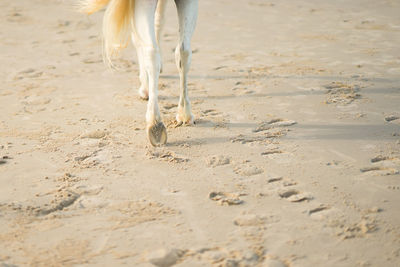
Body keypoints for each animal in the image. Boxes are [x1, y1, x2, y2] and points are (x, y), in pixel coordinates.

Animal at [79, 0, 198, 147]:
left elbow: (183, 51)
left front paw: (184, 113)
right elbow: (150, 48)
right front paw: (156, 123)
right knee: (145, 41)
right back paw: (147, 94)